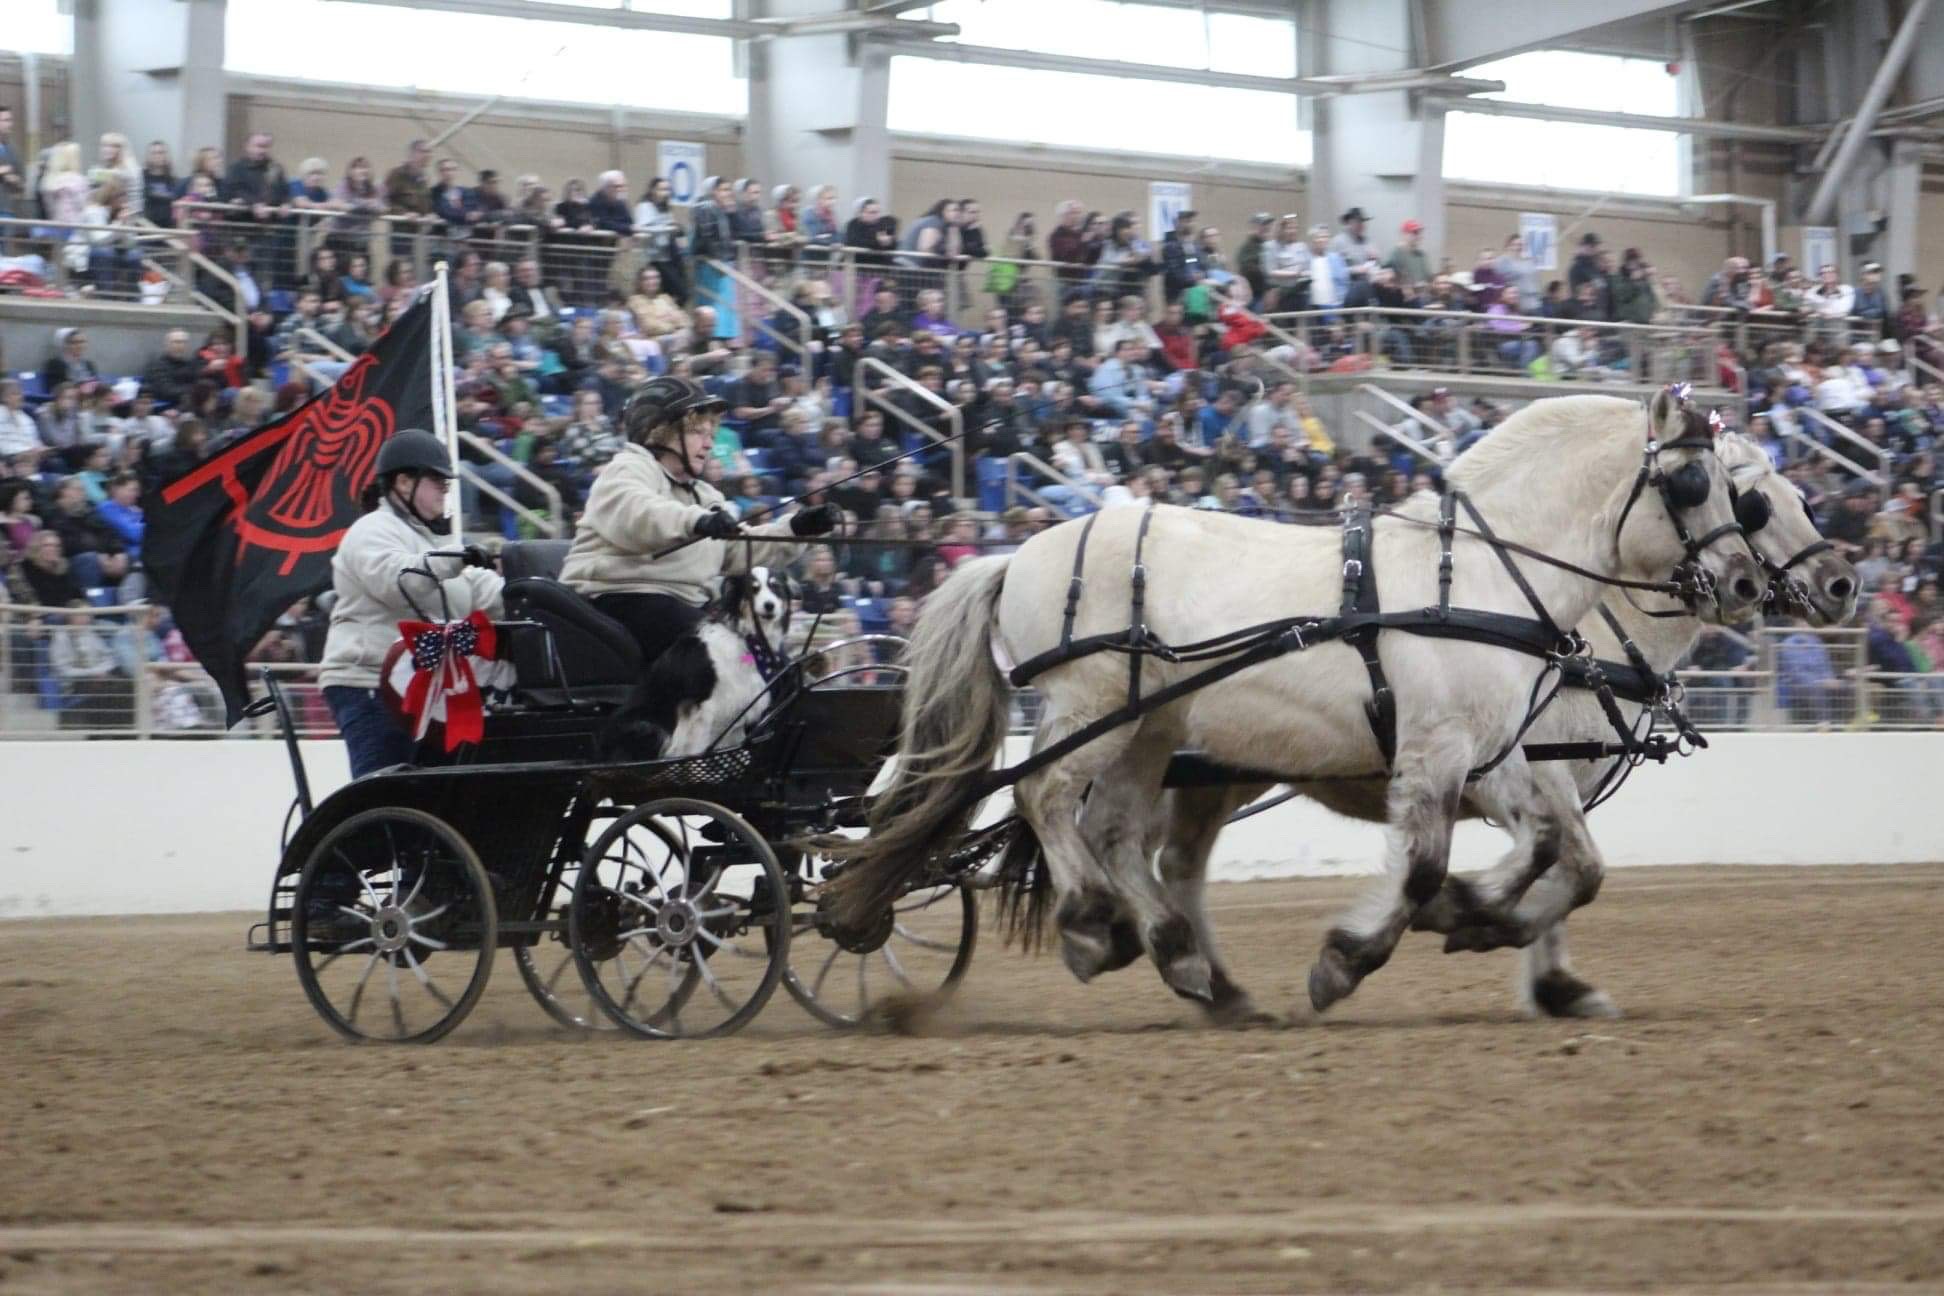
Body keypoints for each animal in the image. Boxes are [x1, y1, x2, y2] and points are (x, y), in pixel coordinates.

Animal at [645, 567, 797, 761]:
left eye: (776, 587)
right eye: (752, 590)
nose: (769, 605)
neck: (748, 639)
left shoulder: (737, 709)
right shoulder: (701, 707)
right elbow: (696, 748)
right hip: (651, 730)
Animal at [828, 390, 1772, 1018]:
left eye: (1747, 497)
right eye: (1696, 483)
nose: (1746, 582)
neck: (1477, 576)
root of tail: (1016, 553)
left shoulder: (1495, 752)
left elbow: (1552, 850)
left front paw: (1476, 919)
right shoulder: (1438, 750)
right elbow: (1428, 864)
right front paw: (1350, 959)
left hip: (1150, 732)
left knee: (1117, 834)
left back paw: (1186, 964)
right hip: (1092, 709)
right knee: (1045, 796)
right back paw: (1097, 926)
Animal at [1143, 435, 1858, 1025]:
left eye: (1799, 500)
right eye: (1752, 503)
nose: (1843, 584)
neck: (1578, 637)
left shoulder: (1547, 777)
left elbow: (1569, 868)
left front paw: (1549, 976)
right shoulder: (1528, 767)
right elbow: (1572, 864)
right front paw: (1473, 921)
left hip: (1224, 770)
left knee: (1174, 861)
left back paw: (1203, 977)